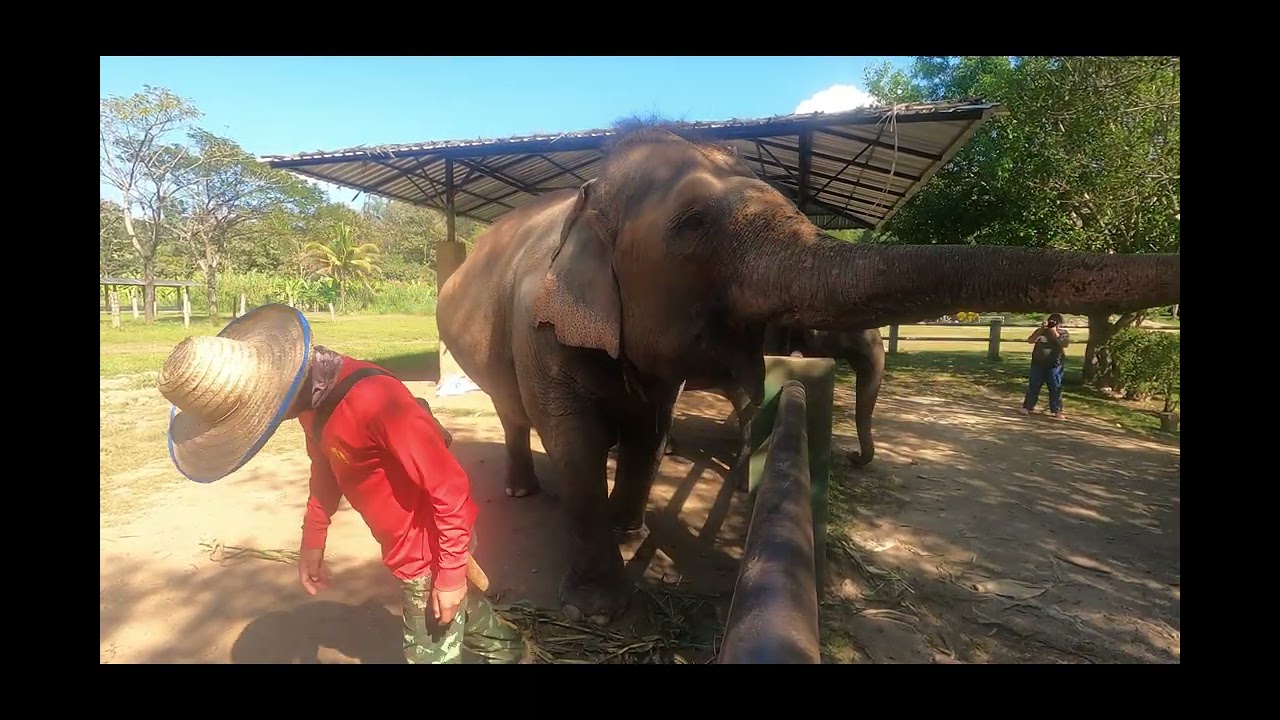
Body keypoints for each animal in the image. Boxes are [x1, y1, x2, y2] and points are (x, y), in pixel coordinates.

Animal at [435, 122, 1180, 625]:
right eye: (692, 222)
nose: (853, 460)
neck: (585, 203)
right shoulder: (540, 333)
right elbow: (579, 445)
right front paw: (596, 608)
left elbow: (648, 430)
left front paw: (633, 531)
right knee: (512, 414)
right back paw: (525, 490)